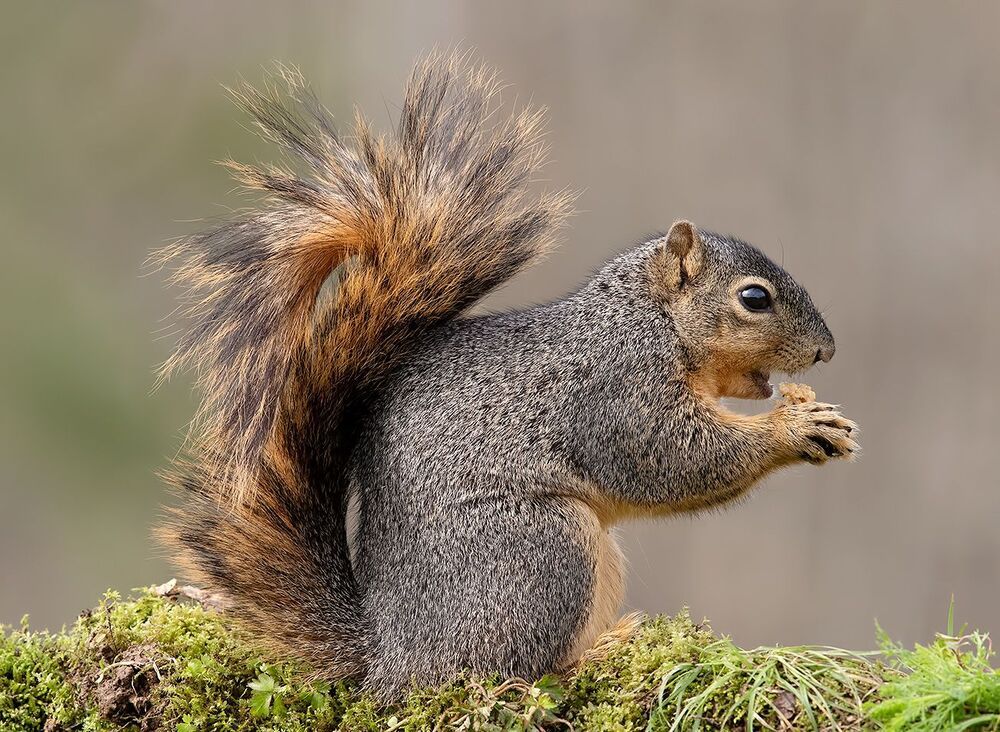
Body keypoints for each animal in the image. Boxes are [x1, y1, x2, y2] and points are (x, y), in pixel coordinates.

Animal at [157, 53, 858, 701]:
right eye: (754, 298)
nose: (826, 351)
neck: (647, 321)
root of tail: (391, 656)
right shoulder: (617, 391)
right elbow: (672, 458)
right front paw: (794, 427)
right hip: (543, 553)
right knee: (509, 671)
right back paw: (594, 655)